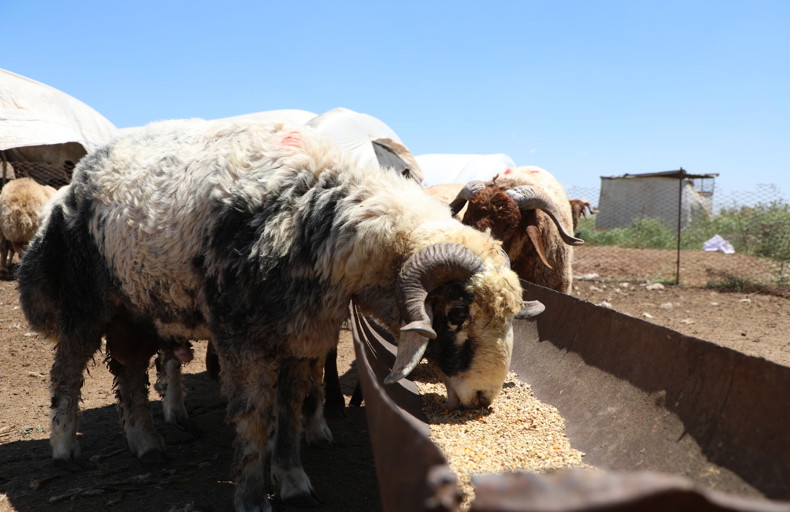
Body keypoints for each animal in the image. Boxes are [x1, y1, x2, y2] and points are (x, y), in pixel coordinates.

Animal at [17, 118, 541, 512]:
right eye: (455, 313)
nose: (482, 399)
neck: (322, 214)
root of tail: (71, 184)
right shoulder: (241, 338)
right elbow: (253, 413)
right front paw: (252, 497)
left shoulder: (304, 337)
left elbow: (290, 408)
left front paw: (293, 480)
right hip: (85, 302)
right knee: (66, 372)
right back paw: (65, 451)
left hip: (136, 308)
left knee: (127, 372)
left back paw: (147, 445)